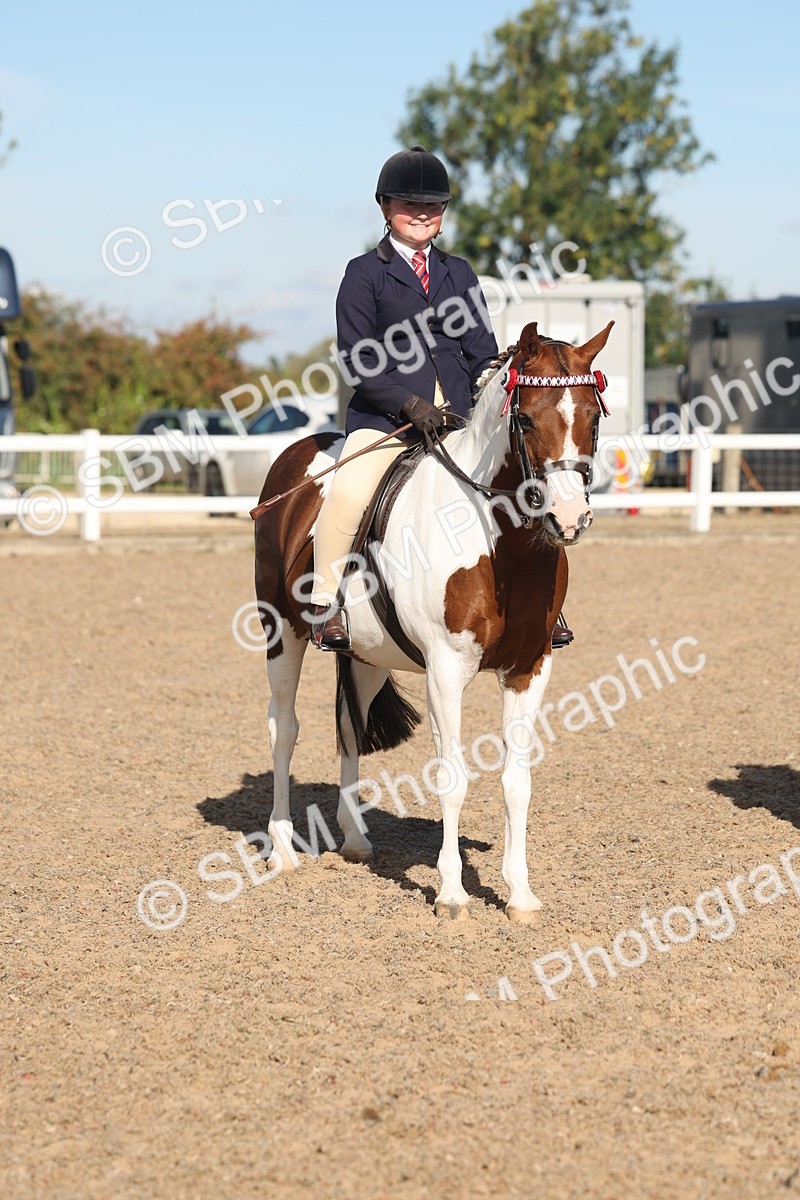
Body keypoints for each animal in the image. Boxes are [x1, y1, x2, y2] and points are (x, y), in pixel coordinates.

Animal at [253, 319, 613, 921]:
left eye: (593, 417)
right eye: (526, 419)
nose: (569, 518)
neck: (500, 545)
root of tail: (293, 455)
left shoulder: (531, 668)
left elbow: (517, 782)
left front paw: (520, 895)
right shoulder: (446, 670)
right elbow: (453, 777)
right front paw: (451, 893)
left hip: (366, 652)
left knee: (349, 727)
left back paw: (355, 840)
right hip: (282, 632)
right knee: (284, 729)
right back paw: (283, 850)